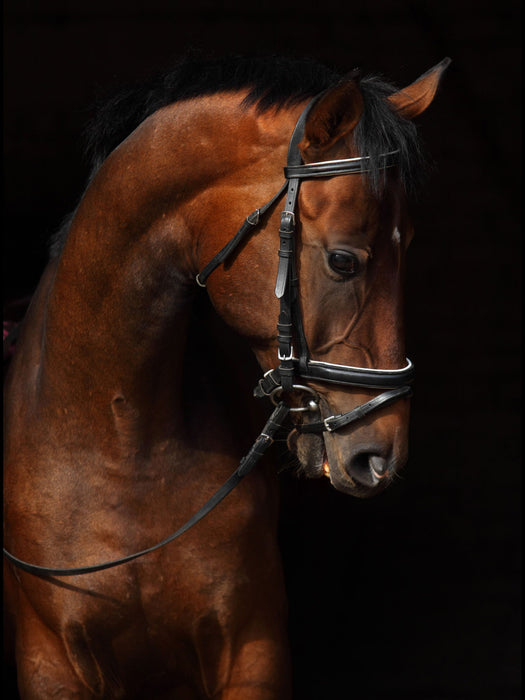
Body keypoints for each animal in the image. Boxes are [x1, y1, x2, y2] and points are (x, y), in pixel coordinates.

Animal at [3, 54, 449, 698]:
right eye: (343, 260)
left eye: (408, 245)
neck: (119, 438)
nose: (379, 455)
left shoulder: (251, 650)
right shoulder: (51, 662)